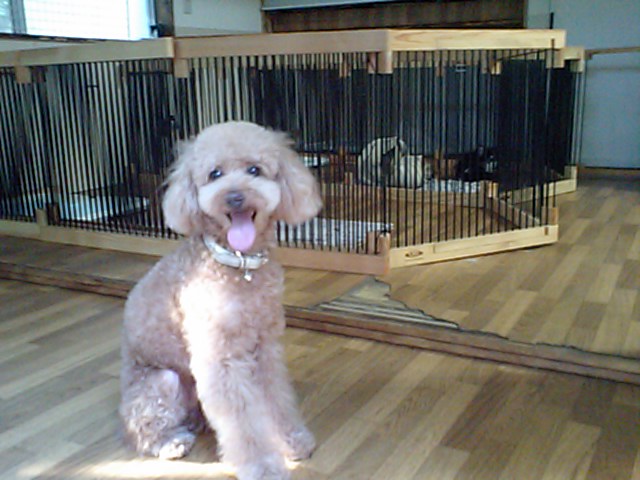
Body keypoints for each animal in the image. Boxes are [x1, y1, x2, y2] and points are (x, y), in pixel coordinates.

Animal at [119, 121, 322, 480]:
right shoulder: (221, 360)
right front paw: (262, 466)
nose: (235, 196)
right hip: (160, 384)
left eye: (254, 170)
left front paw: (291, 441)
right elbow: (243, 424)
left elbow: (275, 400)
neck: (239, 265)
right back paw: (171, 442)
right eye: (214, 174)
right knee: (144, 431)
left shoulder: (264, 349)